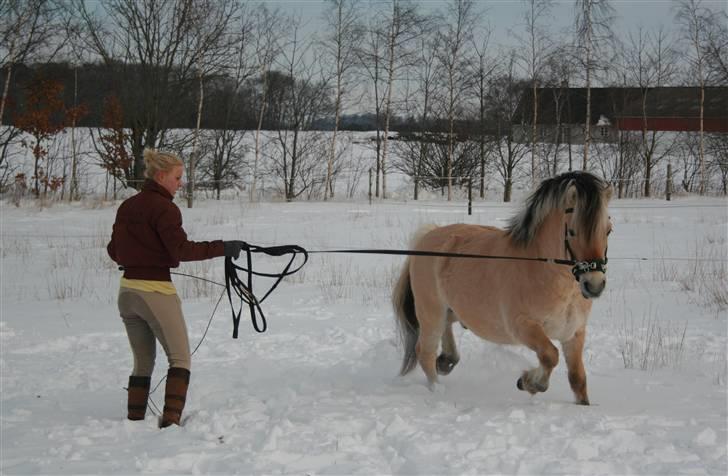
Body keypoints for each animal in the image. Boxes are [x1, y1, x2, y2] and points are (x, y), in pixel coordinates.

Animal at [390, 172, 612, 406]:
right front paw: (529, 383)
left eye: (608, 230)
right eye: (572, 231)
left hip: (451, 310)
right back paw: (438, 389)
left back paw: (447, 360)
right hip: (431, 311)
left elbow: (577, 379)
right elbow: (550, 355)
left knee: (445, 332)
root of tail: (428, 235)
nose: (594, 285)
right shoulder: (523, 326)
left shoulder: (573, 333)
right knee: (425, 353)